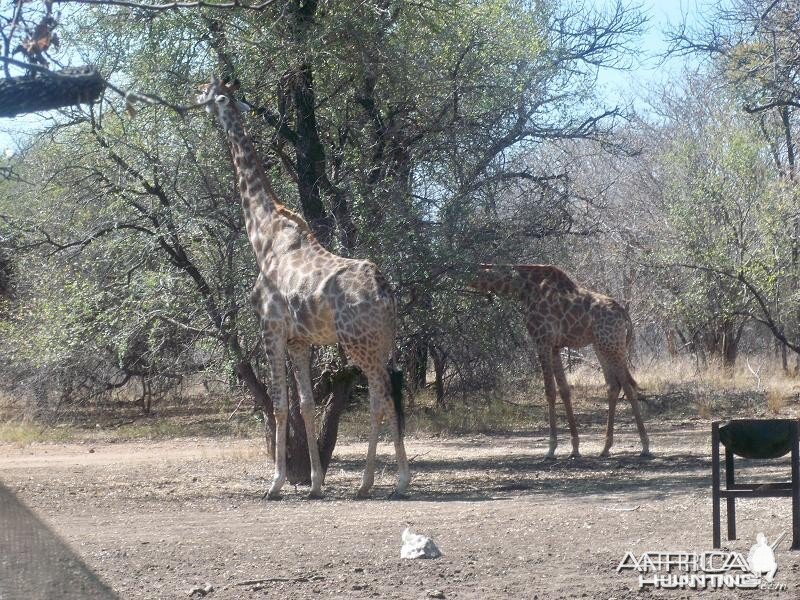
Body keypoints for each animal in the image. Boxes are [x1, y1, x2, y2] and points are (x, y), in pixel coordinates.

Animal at [198, 76, 410, 496]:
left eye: (214, 92)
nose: (196, 96)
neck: (262, 235)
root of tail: (384, 291)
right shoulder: (299, 340)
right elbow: (308, 405)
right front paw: (315, 484)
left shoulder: (271, 328)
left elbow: (280, 406)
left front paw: (276, 483)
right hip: (383, 341)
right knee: (392, 391)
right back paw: (394, 480)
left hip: (358, 343)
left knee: (379, 397)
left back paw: (374, 483)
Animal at [468, 264, 648, 458]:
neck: (524, 288)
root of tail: (624, 314)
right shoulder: (554, 346)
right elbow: (564, 391)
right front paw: (575, 448)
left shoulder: (542, 340)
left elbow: (549, 391)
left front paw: (551, 448)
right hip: (602, 345)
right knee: (613, 386)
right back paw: (605, 448)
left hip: (611, 344)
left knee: (628, 387)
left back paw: (645, 446)